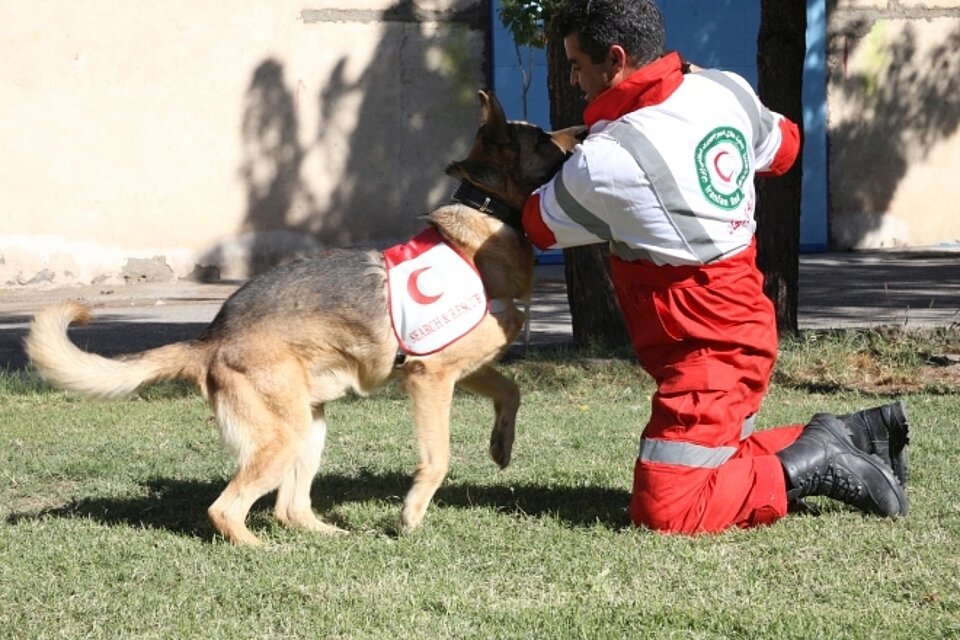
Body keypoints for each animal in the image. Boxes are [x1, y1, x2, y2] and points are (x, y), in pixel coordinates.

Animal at [26, 92, 580, 544]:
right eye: (540, 138)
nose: (581, 131)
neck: (486, 220)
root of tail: (210, 338)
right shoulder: (430, 378)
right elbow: (438, 457)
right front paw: (410, 515)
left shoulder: (463, 369)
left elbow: (512, 390)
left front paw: (501, 446)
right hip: (284, 436)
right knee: (226, 510)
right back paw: (260, 552)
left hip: (309, 428)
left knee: (289, 509)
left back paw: (331, 537)